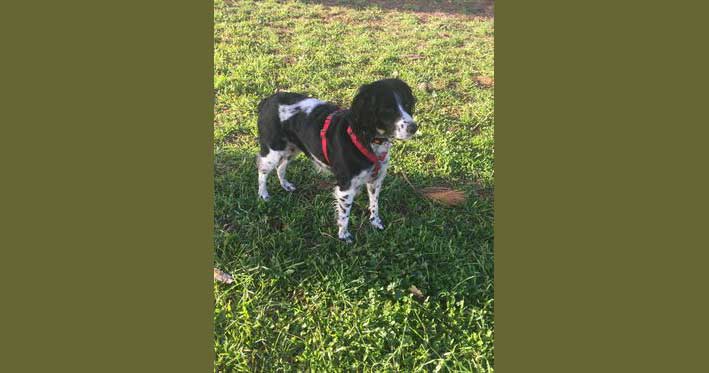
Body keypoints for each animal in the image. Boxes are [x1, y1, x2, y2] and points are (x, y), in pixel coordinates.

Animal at [254, 77, 414, 243]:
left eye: (407, 105)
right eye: (388, 109)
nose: (414, 128)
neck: (367, 139)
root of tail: (267, 100)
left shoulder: (375, 180)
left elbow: (374, 204)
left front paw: (375, 222)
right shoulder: (345, 188)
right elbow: (345, 214)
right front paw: (344, 235)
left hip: (291, 149)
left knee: (281, 167)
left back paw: (285, 185)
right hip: (272, 151)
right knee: (262, 172)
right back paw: (263, 194)